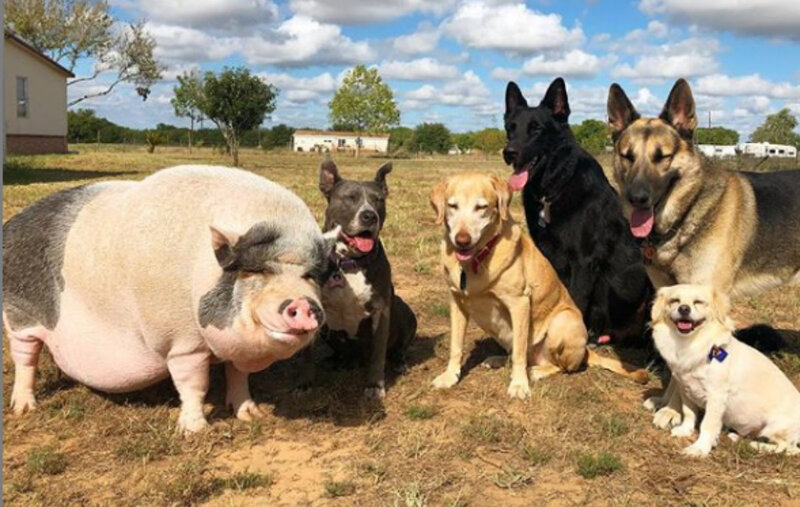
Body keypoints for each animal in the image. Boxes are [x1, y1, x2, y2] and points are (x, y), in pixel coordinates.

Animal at [3, 166, 334, 432]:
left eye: (311, 276)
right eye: (256, 270)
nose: (304, 304)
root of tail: (10, 226)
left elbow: (238, 375)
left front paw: (252, 415)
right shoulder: (182, 341)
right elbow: (194, 384)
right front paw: (195, 431)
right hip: (18, 314)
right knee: (25, 357)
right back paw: (24, 408)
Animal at [312, 161, 416, 398]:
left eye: (378, 199)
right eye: (350, 197)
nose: (370, 216)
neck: (349, 264)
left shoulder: (381, 311)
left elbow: (378, 355)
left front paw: (375, 386)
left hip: (404, 311)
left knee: (399, 348)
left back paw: (399, 362)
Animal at [428, 173, 648, 398]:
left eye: (481, 207)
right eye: (452, 205)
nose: (462, 240)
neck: (476, 260)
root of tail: (587, 350)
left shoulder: (519, 304)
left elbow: (519, 351)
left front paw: (518, 385)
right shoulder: (457, 302)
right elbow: (456, 346)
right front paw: (450, 376)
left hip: (563, 320)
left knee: (561, 366)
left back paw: (535, 371)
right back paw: (499, 360)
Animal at [652, 286, 796, 460]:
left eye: (698, 302)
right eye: (674, 301)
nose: (684, 308)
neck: (689, 345)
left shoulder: (716, 397)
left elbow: (707, 425)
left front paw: (700, 448)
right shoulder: (686, 390)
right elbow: (689, 413)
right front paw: (685, 431)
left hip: (774, 428)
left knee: (789, 448)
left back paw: (757, 445)